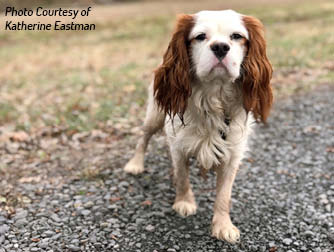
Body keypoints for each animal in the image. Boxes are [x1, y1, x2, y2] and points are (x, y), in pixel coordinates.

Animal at [122, 9, 272, 244]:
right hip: (155, 116)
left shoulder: (232, 154)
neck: (213, 97)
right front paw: (184, 203)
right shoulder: (179, 146)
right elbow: (183, 177)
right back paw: (135, 164)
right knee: (143, 137)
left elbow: (224, 195)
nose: (220, 47)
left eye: (237, 36)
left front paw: (223, 225)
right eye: (200, 37)